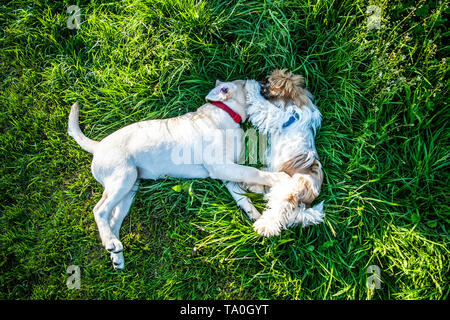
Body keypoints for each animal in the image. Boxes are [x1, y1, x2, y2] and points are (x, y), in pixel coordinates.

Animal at [68, 79, 290, 268]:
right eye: (248, 83)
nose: (265, 81)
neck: (224, 112)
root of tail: (97, 147)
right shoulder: (221, 166)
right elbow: (252, 171)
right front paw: (278, 180)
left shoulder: (226, 173)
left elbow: (242, 195)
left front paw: (257, 216)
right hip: (122, 178)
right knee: (100, 210)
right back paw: (111, 242)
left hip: (129, 188)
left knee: (113, 219)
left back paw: (116, 253)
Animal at [243, 70, 324, 238]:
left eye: (267, 83)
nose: (259, 82)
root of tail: (304, 206)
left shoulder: (277, 115)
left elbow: (262, 106)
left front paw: (251, 85)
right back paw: (252, 185)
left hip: (289, 191)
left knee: (278, 212)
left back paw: (266, 226)